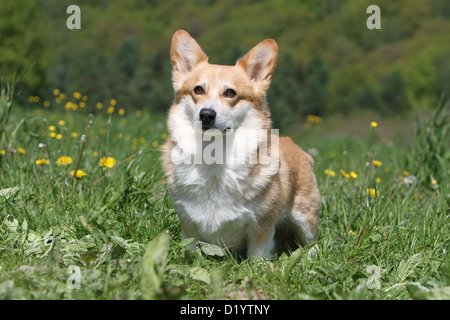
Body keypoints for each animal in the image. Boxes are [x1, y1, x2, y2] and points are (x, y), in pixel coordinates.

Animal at [162, 30, 320, 258]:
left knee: (313, 242)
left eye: (230, 93)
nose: (206, 115)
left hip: (304, 217)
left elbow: (257, 257)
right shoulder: (187, 223)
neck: (215, 157)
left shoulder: (262, 226)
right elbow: (191, 250)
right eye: (198, 90)